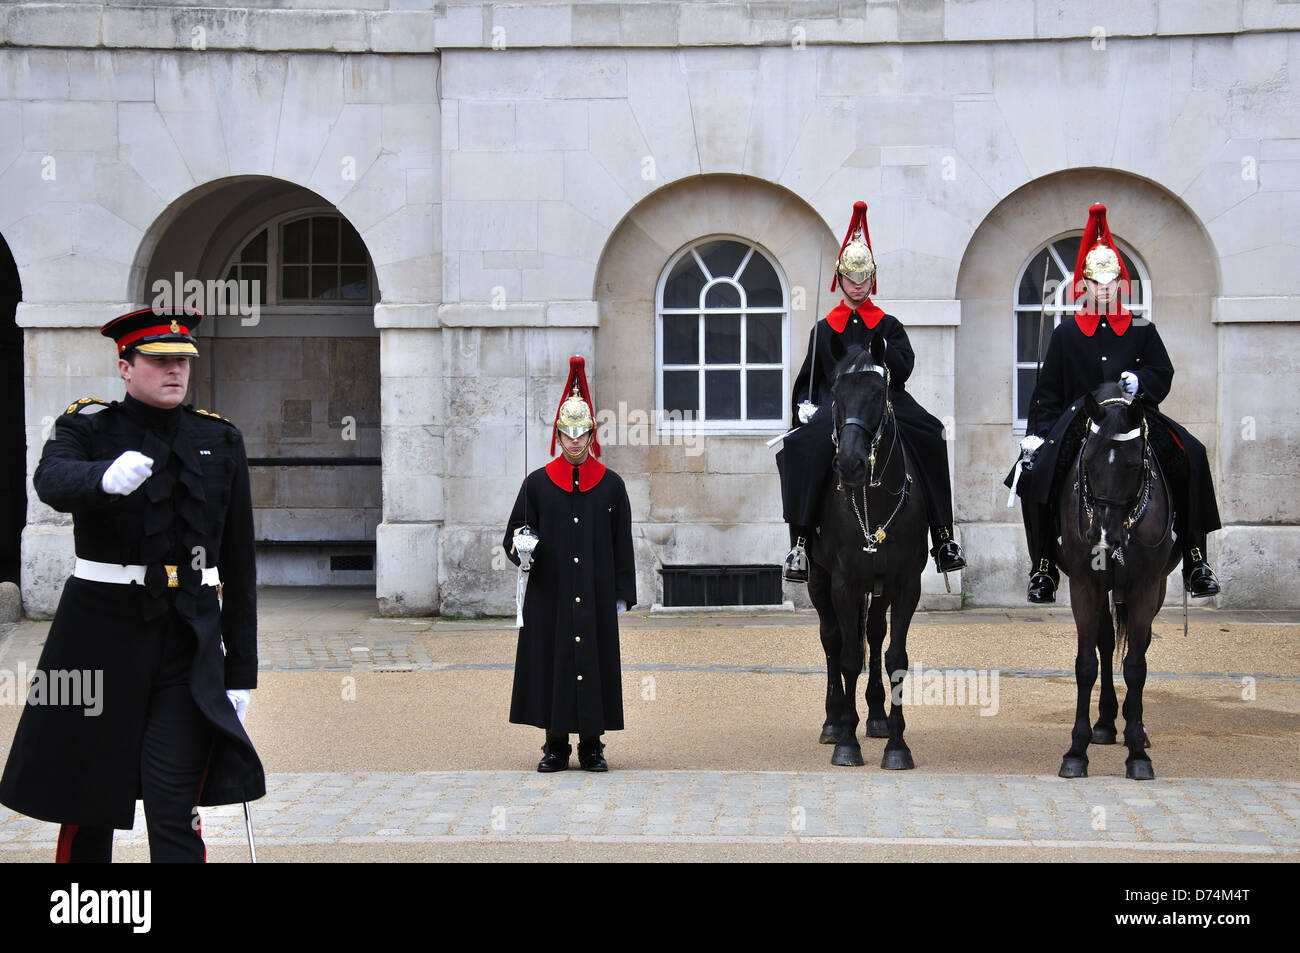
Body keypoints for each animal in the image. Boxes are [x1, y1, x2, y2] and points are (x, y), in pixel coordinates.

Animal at [806, 338, 930, 769]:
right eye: (835, 394)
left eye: (878, 394)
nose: (849, 465)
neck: (872, 500)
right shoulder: (843, 582)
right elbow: (845, 656)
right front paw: (846, 741)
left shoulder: (906, 584)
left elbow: (895, 658)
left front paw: (897, 744)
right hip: (818, 578)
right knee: (831, 639)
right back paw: (833, 720)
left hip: (880, 587)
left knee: (874, 635)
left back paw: (875, 716)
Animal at [1055, 387, 1180, 780]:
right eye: (1089, 461)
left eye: (1132, 464)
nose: (1103, 539)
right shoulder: (1084, 585)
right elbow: (1086, 664)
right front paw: (1076, 751)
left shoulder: (1146, 586)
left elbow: (1136, 666)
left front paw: (1137, 752)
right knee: (1107, 643)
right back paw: (1106, 723)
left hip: (1156, 589)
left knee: (1138, 645)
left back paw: (1132, 726)